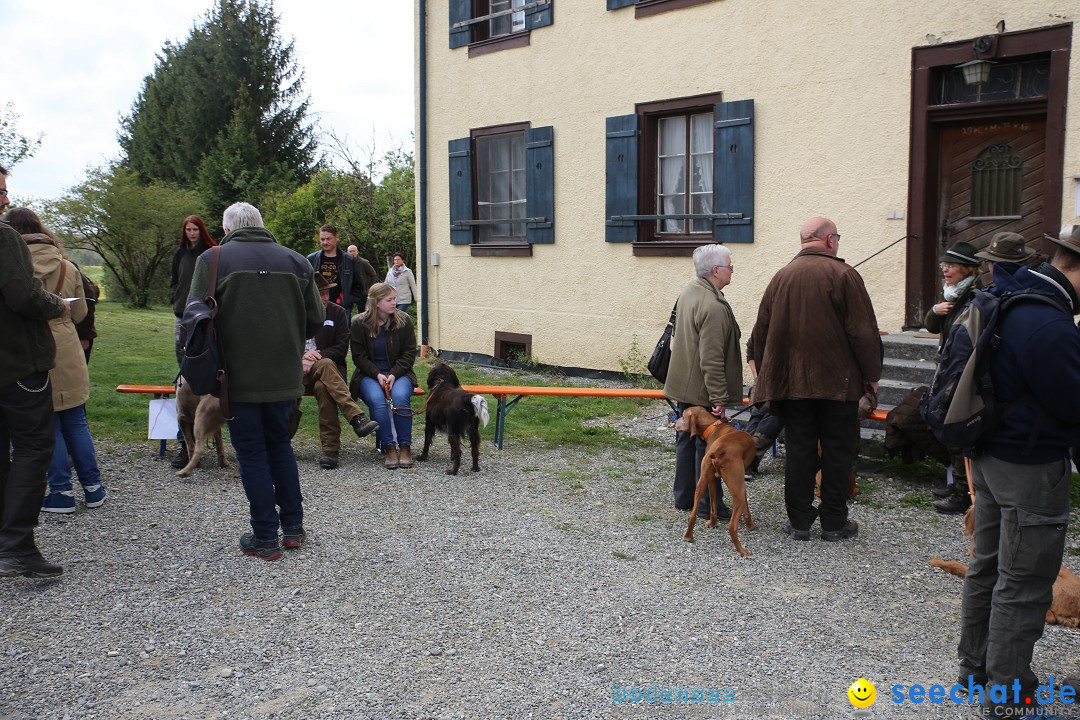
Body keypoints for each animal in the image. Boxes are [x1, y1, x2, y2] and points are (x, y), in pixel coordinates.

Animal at [673, 405, 760, 557]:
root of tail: (720, 448)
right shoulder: (741, 484)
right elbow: (747, 509)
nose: (675, 422)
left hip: (701, 483)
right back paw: (742, 551)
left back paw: (688, 536)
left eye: (683, 416)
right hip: (738, 489)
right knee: (732, 526)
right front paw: (751, 526)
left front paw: (712, 523)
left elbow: (713, 506)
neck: (713, 426)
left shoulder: (712, 480)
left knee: (692, 515)